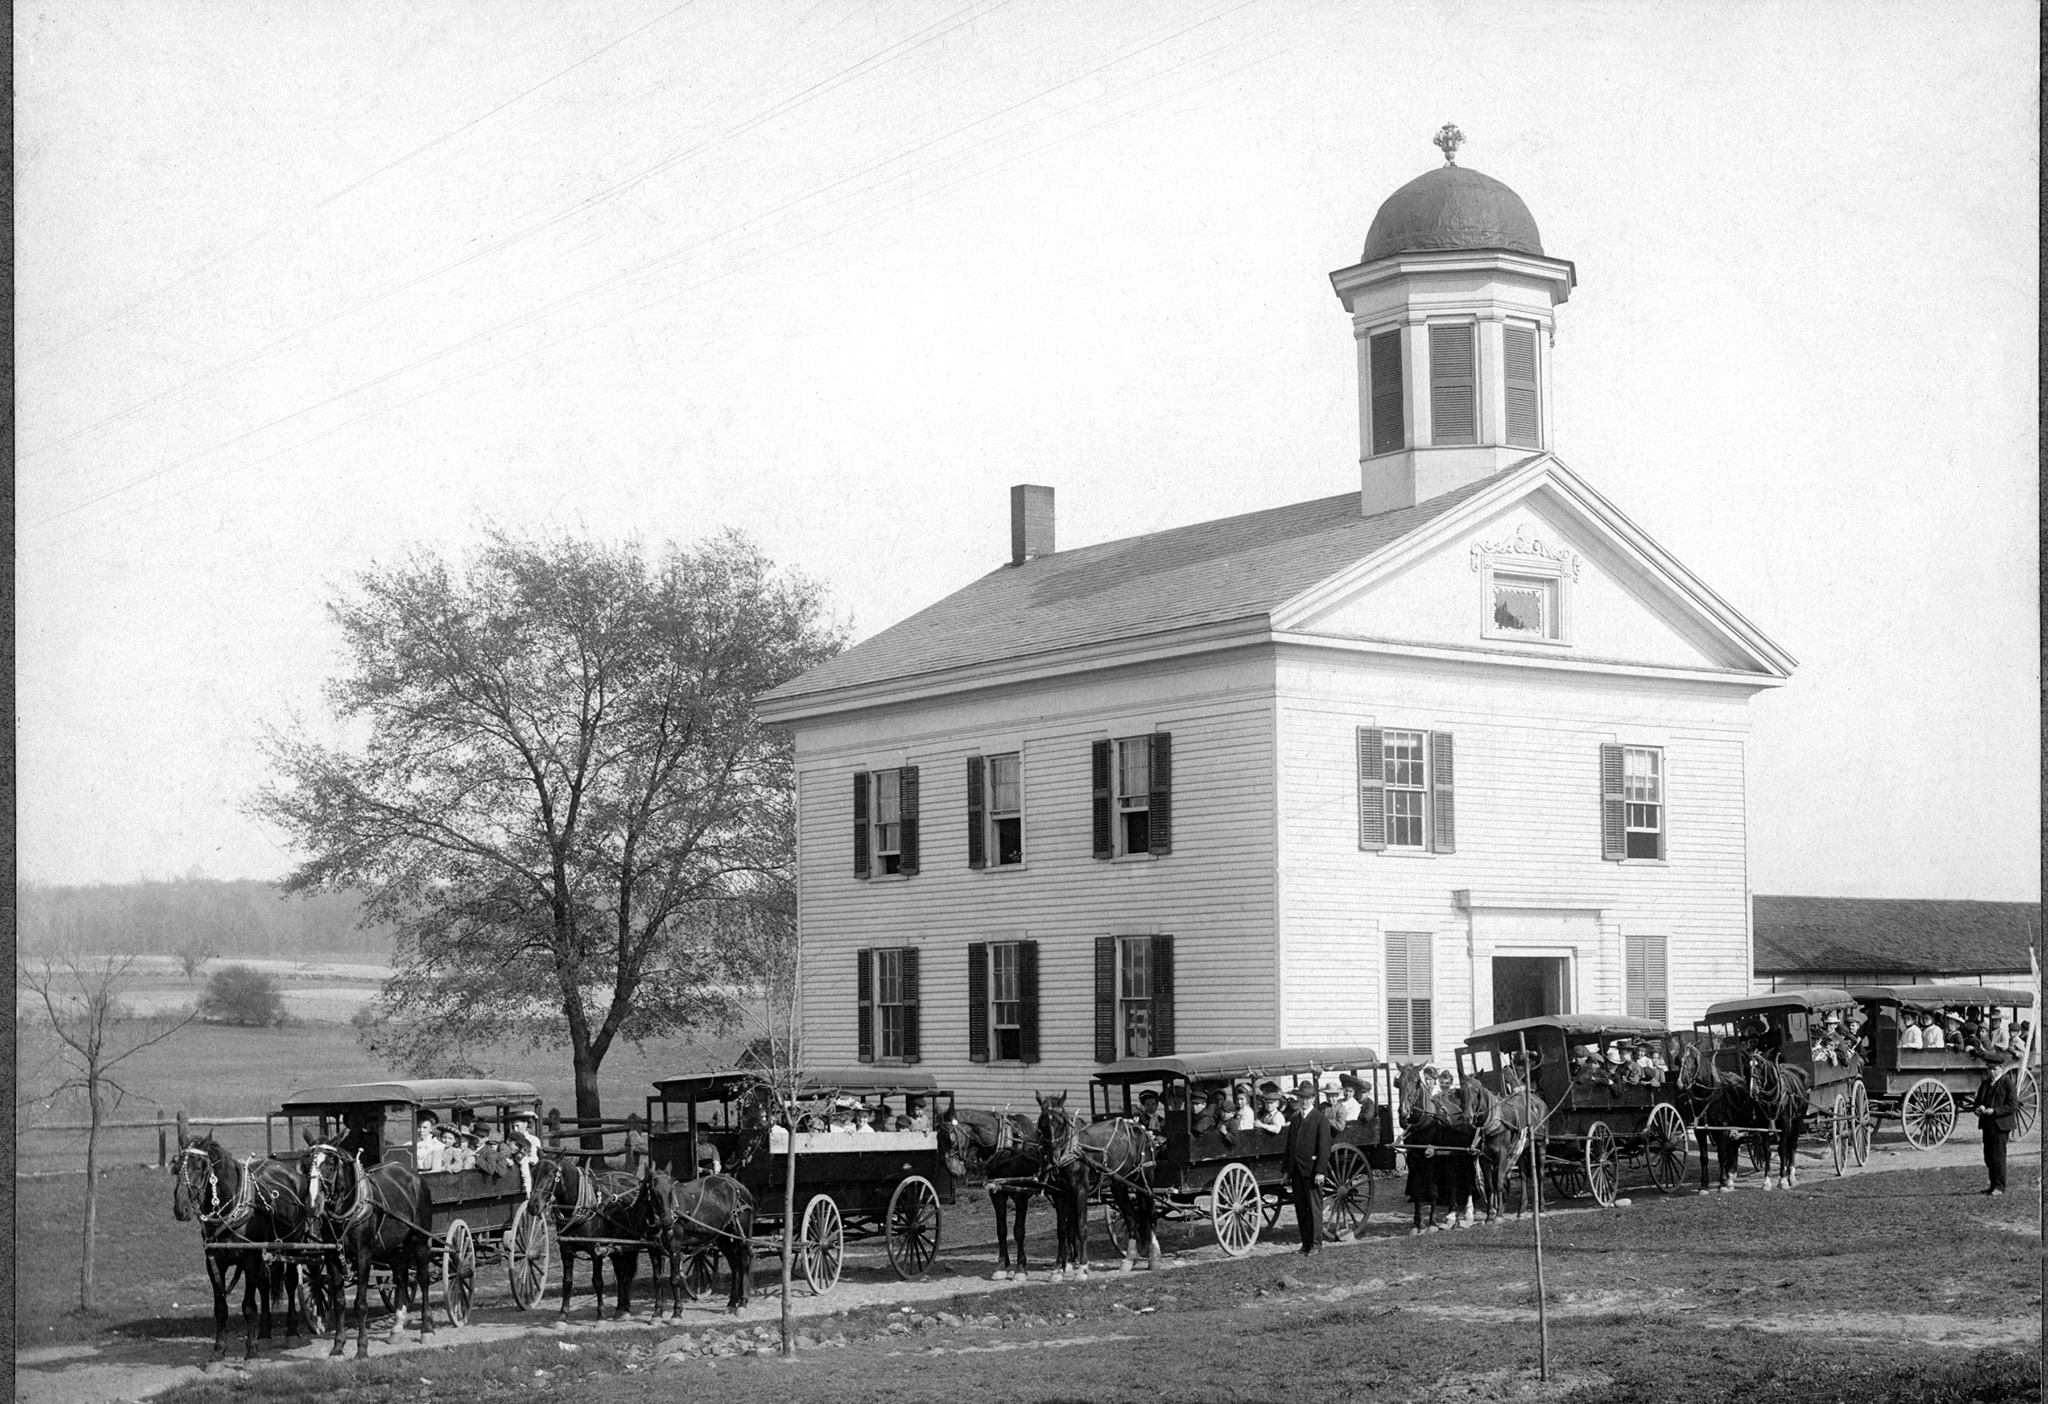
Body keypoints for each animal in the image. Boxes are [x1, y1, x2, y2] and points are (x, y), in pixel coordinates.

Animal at [299, 1146, 432, 1367]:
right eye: (307, 1165)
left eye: (330, 1164)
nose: (312, 1204)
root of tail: (414, 1175)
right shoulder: (332, 1256)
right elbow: (339, 1302)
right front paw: (338, 1347)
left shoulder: (364, 1255)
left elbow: (360, 1304)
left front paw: (362, 1349)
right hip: (394, 1249)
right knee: (401, 1279)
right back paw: (397, 1328)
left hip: (419, 1240)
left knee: (423, 1278)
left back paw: (427, 1329)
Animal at [528, 1154, 647, 1318]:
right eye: (533, 1173)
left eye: (551, 1175)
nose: (533, 1206)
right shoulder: (566, 1250)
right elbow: (567, 1281)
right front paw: (563, 1314)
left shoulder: (596, 1250)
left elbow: (597, 1281)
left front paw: (601, 1314)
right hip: (616, 1244)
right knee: (620, 1272)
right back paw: (619, 1307)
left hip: (632, 1241)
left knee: (627, 1273)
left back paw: (626, 1309)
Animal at [643, 1178, 757, 1318]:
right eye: (653, 1193)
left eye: (670, 1192)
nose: (668, 1221)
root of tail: (738, 1185)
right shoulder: (653, 1249)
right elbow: (657, 1280)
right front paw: (657, 1313)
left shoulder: (674, 1246)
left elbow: (674, 1279)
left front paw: (677, 1313)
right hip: (723, 1239)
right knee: (735, 1267)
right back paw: (731, 1303)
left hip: (741, 1236)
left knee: (745, 1263)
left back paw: (742, 1303)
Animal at [937, 1113, 1040, 1285]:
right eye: (937, 1139)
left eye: (952, 1139)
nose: (953, 1171)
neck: (1008, 1147)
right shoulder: (997, 1194)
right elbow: (1001, 1230)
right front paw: (1002, 1266)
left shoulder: (1021, 1195)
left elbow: (1018, 1231)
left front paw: (1020, 1269)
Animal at [1040, 1097, 1155, 1285]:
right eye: (1041, 1124)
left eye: (1061, 1123)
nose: (1053, 1157)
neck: (1071, 1151)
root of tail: (1139, 1127)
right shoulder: (1060, 1195)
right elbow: (1062, 1230)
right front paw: (1058, 1269)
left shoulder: (1080, 1191)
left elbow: (1081, 1227)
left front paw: (1082, 1268)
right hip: (1119, 1184)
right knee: (1131, 1216)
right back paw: (1129, 1259)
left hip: (1145, 1179)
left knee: (1151, 1211)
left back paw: (1154, 1256)